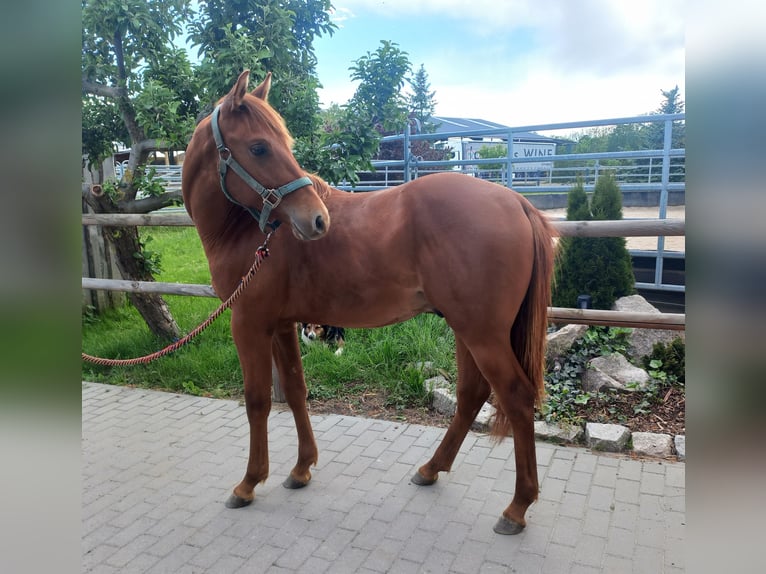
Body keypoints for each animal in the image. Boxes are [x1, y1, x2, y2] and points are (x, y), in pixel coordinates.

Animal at [184, 71, 560, 536]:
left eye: (277, 144)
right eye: (259, 147)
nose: (317, 220)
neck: (250, 231)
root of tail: (516, 201)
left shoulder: (250, 324)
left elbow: (257, 401)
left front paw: (249, 483)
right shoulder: (283, 325)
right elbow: (295, 390)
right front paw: (302, 469)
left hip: (482, 335)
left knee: (516, 398)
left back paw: (516, 507)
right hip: (467, 329)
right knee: (472, 394)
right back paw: (431, 469)